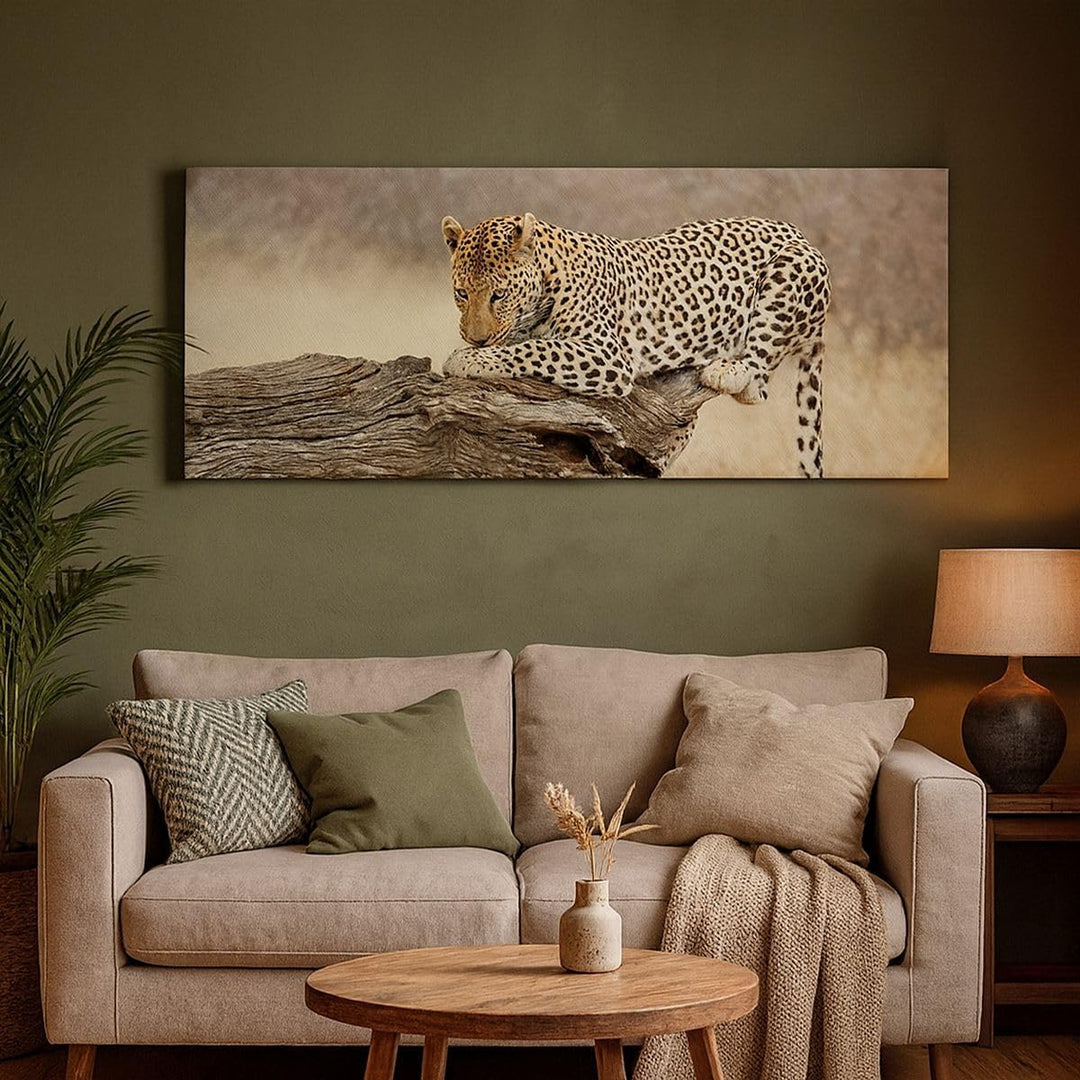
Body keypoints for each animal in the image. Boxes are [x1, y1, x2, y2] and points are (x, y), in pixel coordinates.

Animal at [440, 212, 830, 478]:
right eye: (461, 293)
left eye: (498, 295)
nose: (476, 338)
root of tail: (799, 232)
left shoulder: (608, 356)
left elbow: (537, 350)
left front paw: (469, 358)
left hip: (792, 269)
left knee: (757, 377)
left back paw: (727, 369)